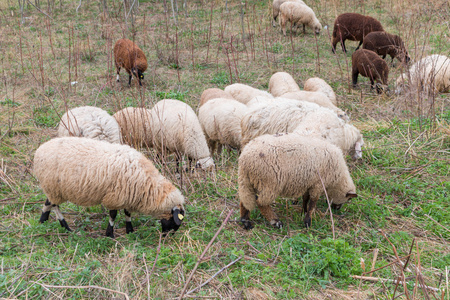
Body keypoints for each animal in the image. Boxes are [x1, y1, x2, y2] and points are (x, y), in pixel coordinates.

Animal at [33, 137, 185, 238]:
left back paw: (43, 221)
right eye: (174, 220)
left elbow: (127, 213)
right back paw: (65, 226)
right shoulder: (115, 196)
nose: (167, 236)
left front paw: (130, 230)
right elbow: (113, 215)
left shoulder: (128, 194)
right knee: (54, 205)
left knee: (48, 202)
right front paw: (110, 233)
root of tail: (39, 150)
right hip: (53, 186)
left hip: (54, 188)